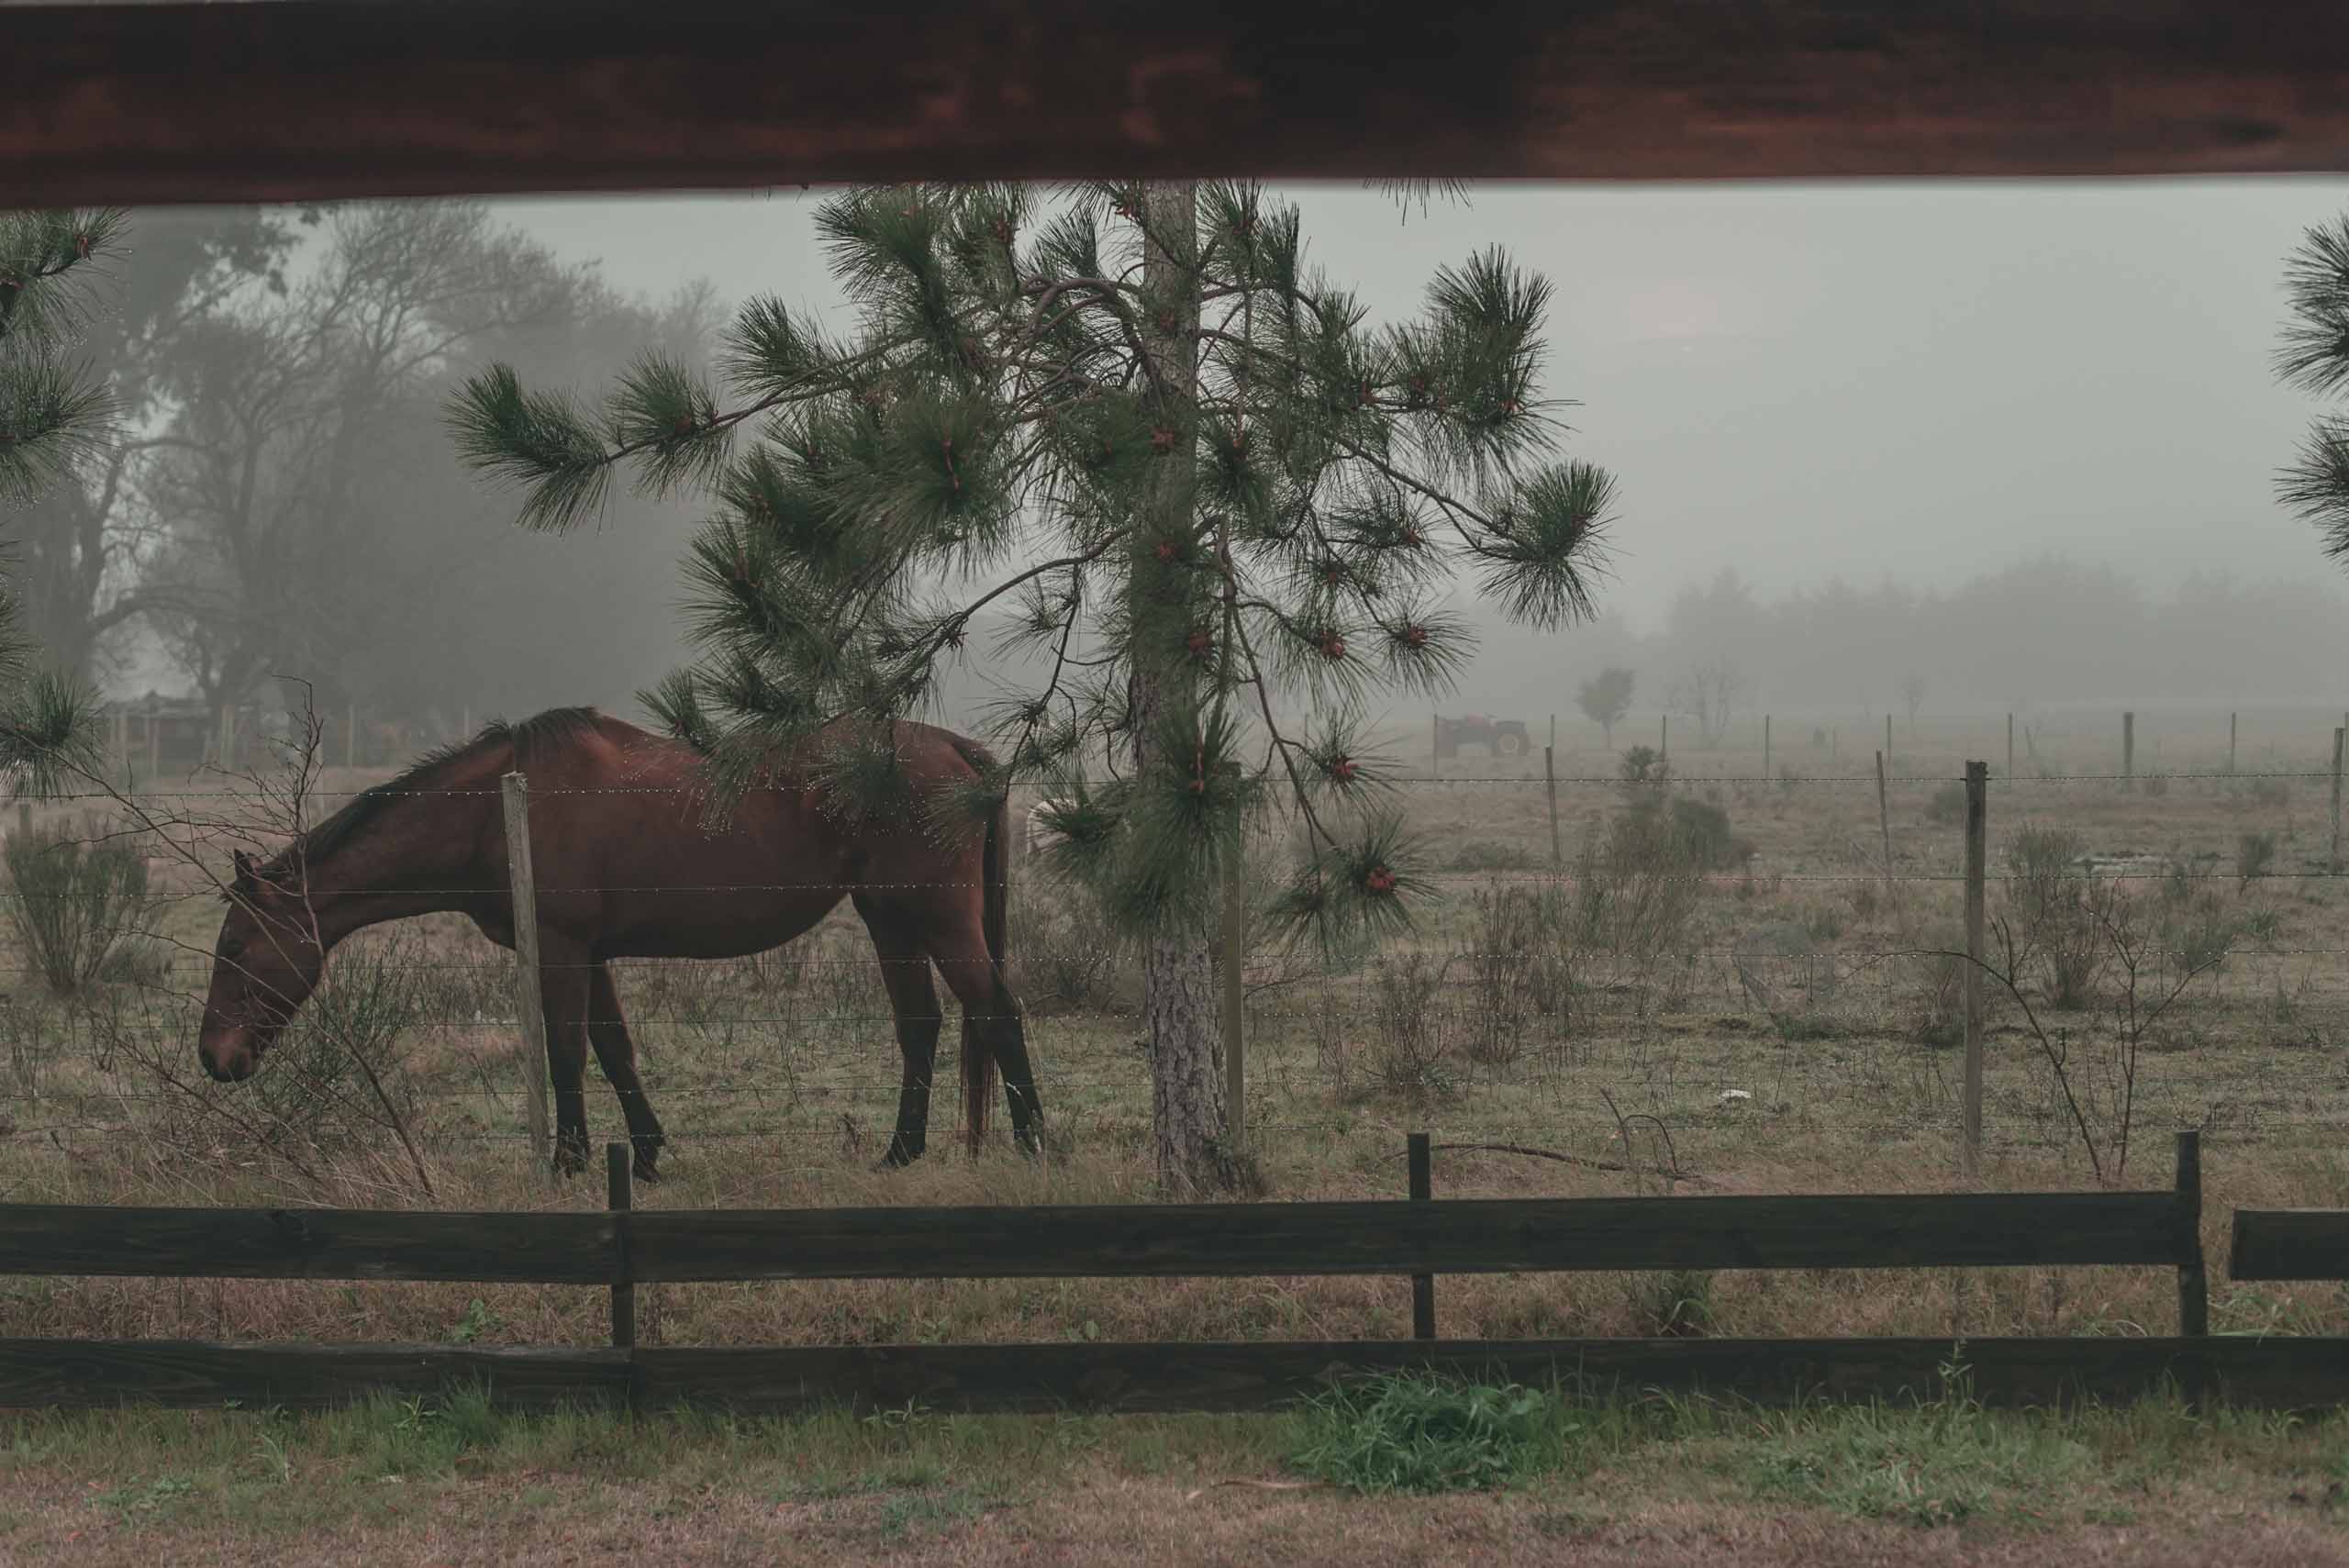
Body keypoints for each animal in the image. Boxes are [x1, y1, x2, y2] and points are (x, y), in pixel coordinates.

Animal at [197, 708, 1042, 1173]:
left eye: (235, 946)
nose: (215, 1058)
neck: (496, 807)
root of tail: (960, 752)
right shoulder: (591, 954)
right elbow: (614, 1051)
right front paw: (646, 1150)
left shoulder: (563, 948)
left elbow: (569, 1052)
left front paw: (569, 1158)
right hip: (889, 919)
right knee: (921, 1026)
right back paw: (900, 1151)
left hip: (936, 918)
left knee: (998, 1011)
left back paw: (1035, 1143)